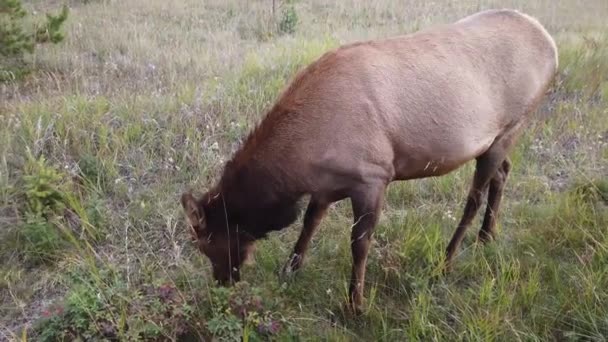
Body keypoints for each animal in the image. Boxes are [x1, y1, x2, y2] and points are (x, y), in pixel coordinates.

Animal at [179, 8, 556, 312]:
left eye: (205, 243)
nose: (222, 282)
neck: (299, 166)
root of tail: (549, 42)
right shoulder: (326, 185)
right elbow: (309, 224)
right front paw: (290, 268)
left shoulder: (373, 176)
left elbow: (359, 245)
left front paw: (355, 304)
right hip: (498, 139)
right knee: (504, 172)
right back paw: (487, 236)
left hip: (511, 126)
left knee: (473, 198)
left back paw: (446, 259)